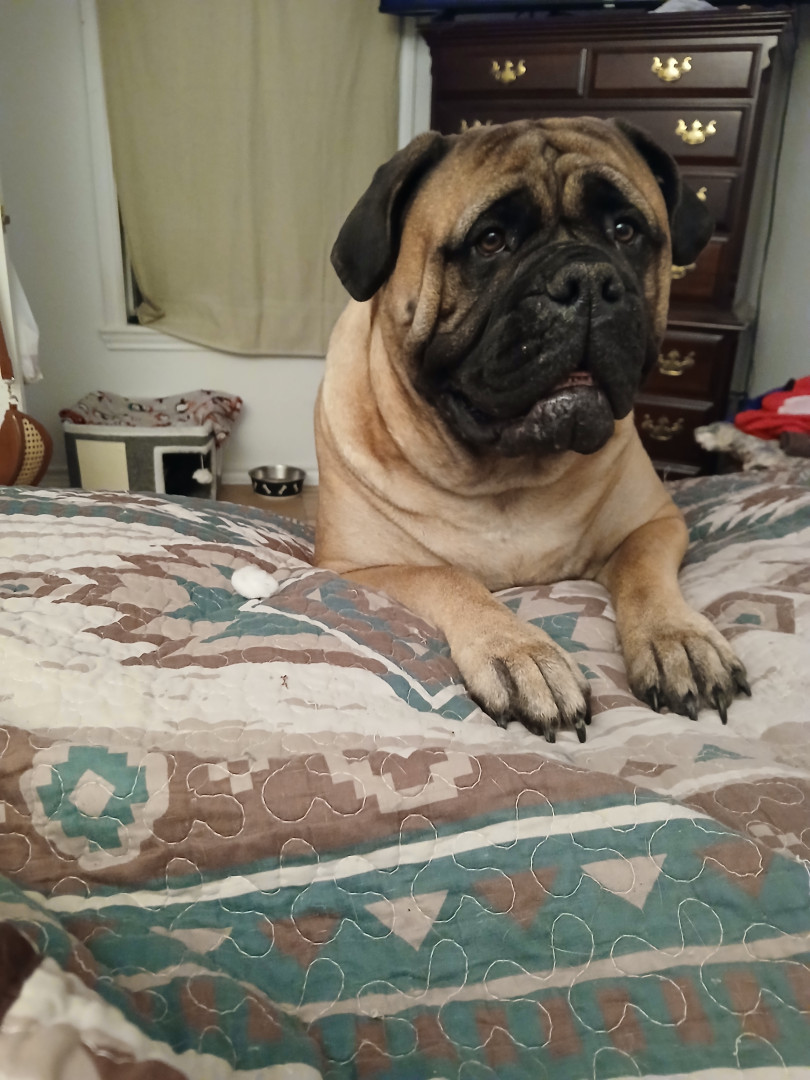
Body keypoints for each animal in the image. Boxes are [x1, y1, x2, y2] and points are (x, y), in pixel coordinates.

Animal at [314, 117, 749, 743]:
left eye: (625, 230)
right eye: (491, 240)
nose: (587, 280)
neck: (507, 475)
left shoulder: (657, 524)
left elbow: (642, 571)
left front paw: (679, 638)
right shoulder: (357, 568)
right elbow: (448, 576)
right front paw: (521, 652)